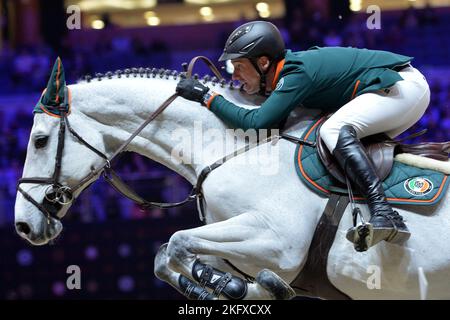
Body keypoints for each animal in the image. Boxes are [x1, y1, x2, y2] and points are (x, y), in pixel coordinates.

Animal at [13, 58, 450, 300]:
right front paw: (229, 287)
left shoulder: (278, 241)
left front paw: (228, 286)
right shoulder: (240, 248)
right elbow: (165, 256)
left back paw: (383, 222)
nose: (22, 226)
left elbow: (177, 241)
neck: (233, 148)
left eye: (39, 140)